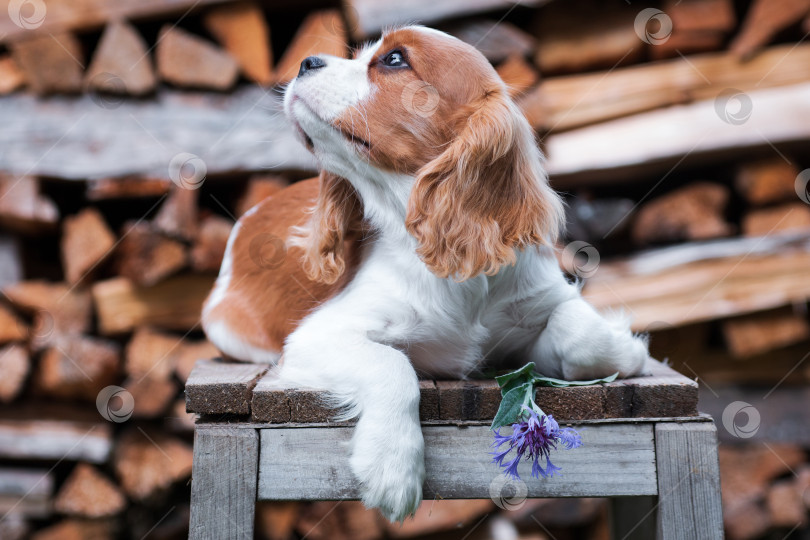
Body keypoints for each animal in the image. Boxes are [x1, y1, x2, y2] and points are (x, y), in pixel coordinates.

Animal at [200, 26, 644, 524]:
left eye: (394, 60)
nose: (305, 62)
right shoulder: (316, 336)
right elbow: (393, 365)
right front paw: (391, 467)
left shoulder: (543, 297)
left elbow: (584, 334)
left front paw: (627, 349)